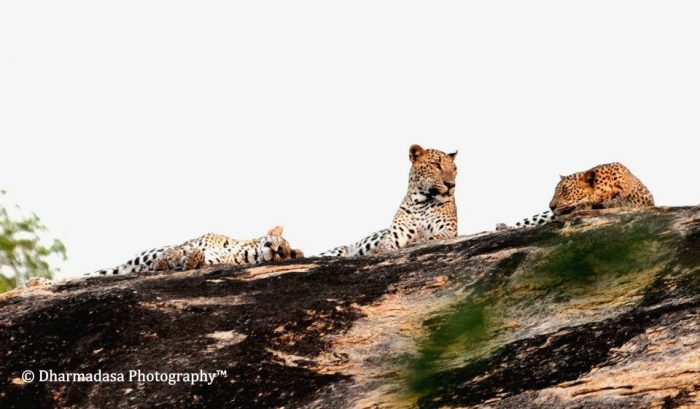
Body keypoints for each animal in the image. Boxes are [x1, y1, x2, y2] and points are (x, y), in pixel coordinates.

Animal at [318, 143, 460, 256]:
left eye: (455, 169)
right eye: (436, 165)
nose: (451, 185)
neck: (421, 201)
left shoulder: (448, 230)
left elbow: (430, 238)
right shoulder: (396, 235)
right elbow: (385, 244)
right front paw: (376, 251)